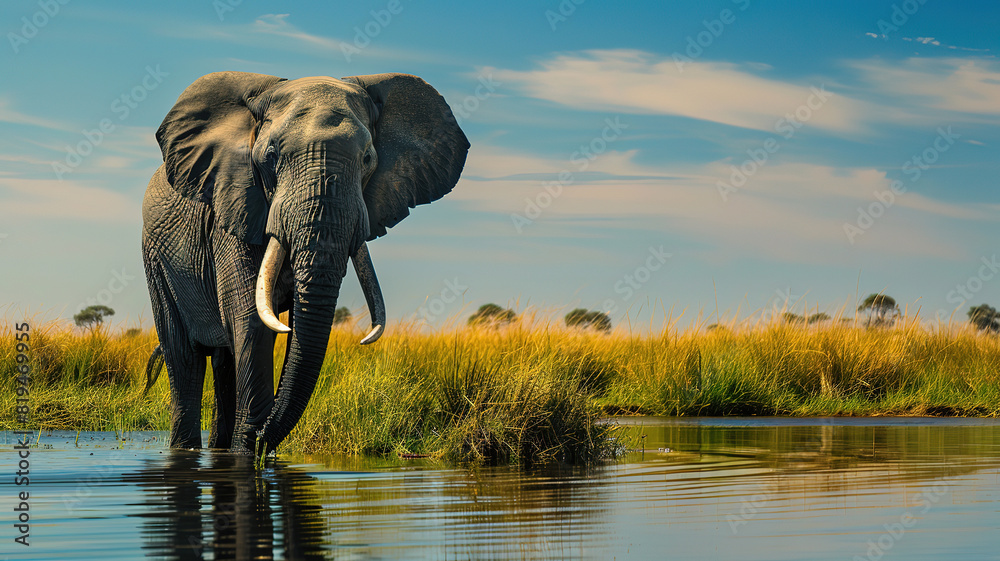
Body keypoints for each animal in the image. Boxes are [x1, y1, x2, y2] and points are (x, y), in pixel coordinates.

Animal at [141, 71, 469, 454]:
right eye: (270, 156)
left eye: (368, 159)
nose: (261, 442)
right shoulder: (234, 204)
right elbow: (251, 321)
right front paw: (248, 451)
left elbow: (297, 322)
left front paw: (249, 446)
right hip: (155, 258)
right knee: (183, 356)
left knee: (222, 358)